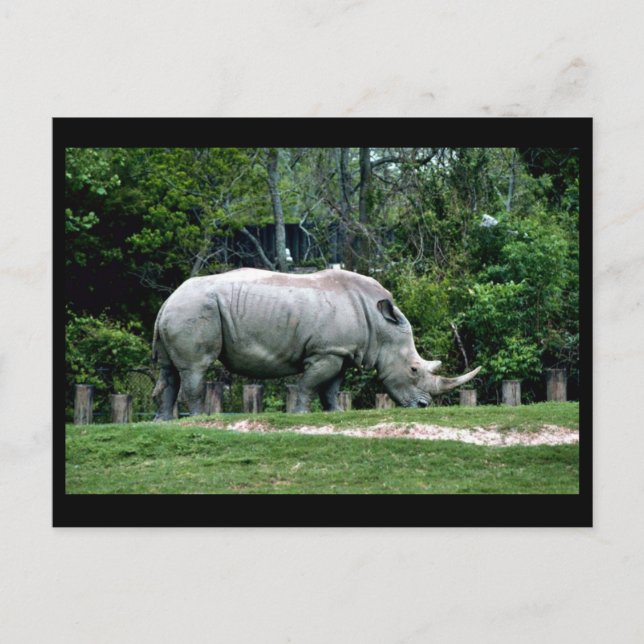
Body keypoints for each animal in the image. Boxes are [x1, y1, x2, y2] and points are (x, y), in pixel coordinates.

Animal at [152, 268, 480, 419]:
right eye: (413, 369)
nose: (424, 406)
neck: (380, 326)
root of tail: (167, 300)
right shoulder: (325, 352)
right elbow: (309, 384)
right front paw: (300, 414)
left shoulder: (341, 352)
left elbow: (331, 387)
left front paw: (336, 414)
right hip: (194, 310)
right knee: (196, 367)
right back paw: (197, 418)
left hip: (182, 310)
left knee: (169, 371)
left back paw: (163, 421)